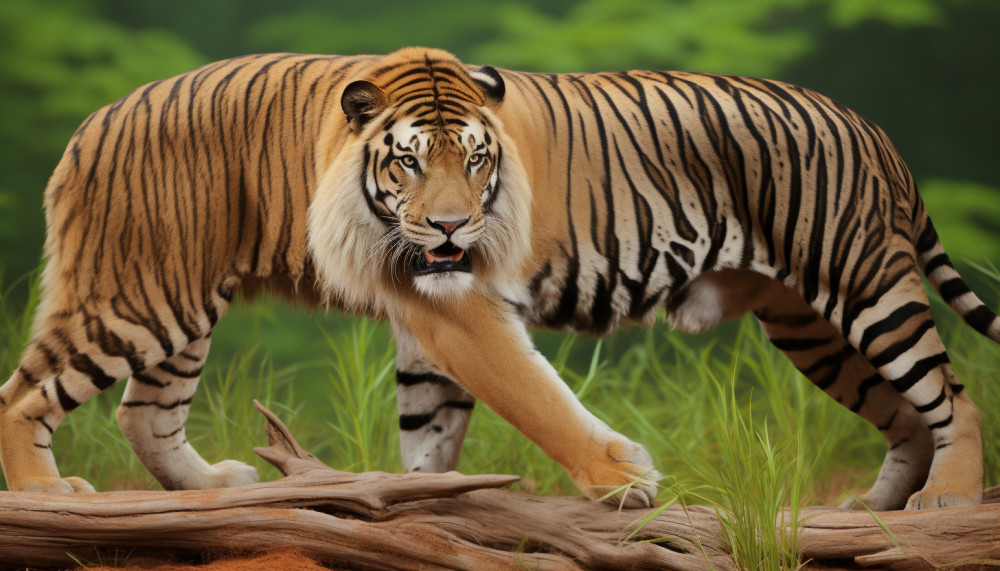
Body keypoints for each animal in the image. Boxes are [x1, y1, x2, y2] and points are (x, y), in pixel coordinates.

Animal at [1, 47, 997, 511]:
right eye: (408, 161)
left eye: (477, 159)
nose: (447, 225)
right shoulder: (445, 306)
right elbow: (508, 401)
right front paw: (611, 480)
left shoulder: (450, 301)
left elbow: (481, 408)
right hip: (150, 296)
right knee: (52, 397)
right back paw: (63, 493)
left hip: (845, 291)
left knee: (944, 398)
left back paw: (927, 499)